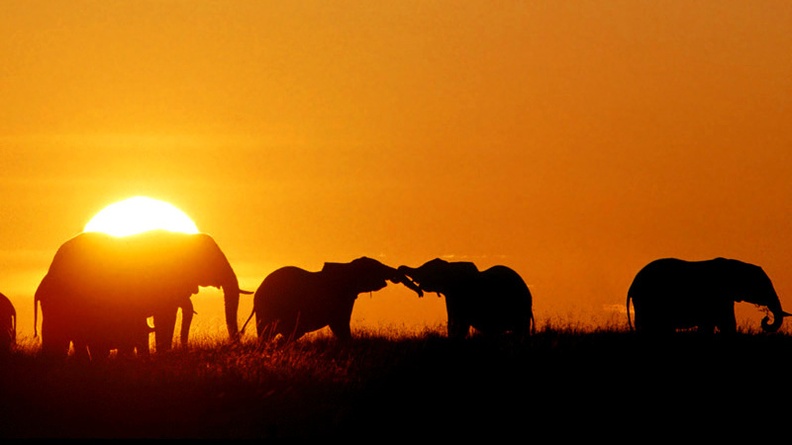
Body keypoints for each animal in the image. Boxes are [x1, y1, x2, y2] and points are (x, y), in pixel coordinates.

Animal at [398, 258, 535, 340]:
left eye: (428, 270)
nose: (399, 268)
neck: (451, 266)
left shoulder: (463, 296)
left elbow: (461, 326)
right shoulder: (452, 298)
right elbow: (452, 324)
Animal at [626, 257, 792, 334]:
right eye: (763, 285)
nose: (766, 318)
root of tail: (632, 285)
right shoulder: (720, 295)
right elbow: (727, 323)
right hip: (647, 300)